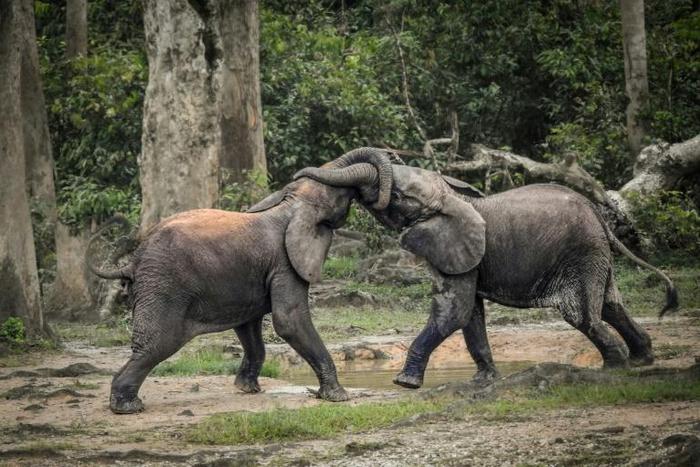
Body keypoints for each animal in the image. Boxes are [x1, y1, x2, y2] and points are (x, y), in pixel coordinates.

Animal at [87, 149, 393, 413]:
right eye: (341, 196)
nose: (372, 195)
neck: (289, 206)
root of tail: (134, 260)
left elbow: (248, 326)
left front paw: (247, 389)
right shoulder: (285, 263)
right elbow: (289, 320)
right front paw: (339, 396)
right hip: (163, 287)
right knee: (157, 343)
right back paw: (127, 407)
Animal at [295, 148, 678, 388]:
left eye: (400, 196)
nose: (298, 174)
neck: (454, 197)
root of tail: (601, 218)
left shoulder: (454, 250)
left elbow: (453, 311)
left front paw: (404, 383)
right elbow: (470, 315)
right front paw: (483, 381)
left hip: (581, 253)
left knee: (583, 315)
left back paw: (613, 367)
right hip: (595, 255)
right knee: (611, 305)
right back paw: (642, 360)